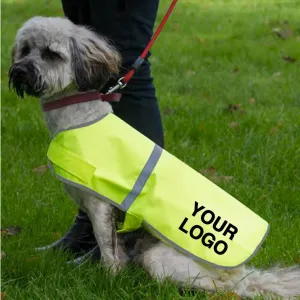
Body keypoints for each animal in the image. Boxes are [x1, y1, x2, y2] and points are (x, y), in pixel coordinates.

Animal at [9, 17, 300, 300]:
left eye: (51, 54)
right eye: (25, 49)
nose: (19, 70)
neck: (78, 117)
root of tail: (241, 272)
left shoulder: (100, 203)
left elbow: (107, 248)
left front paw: (108, 280)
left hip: (161, 258)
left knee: (221, 287)